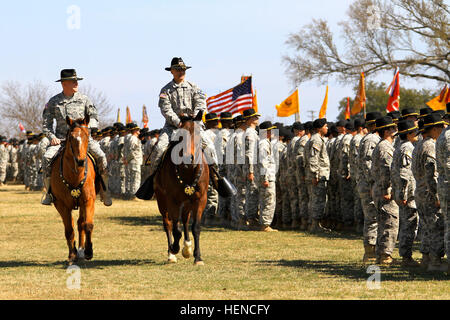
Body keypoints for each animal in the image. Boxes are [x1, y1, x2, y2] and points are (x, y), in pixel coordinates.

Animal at [50, 115, 97, 264]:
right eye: (71, 137)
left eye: (87, 135)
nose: (80, 161)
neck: (74, 176)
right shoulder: (61, 205)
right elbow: (69, 230)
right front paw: (72, 255)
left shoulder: (88, 200)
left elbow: (87, 225)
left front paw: (88, 251)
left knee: (81, 223)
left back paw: (82, 249)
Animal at [154, 112, 210, 264]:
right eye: (180, 135)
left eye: (198, 133)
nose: (188, 158)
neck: (188, 171)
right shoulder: (172, 200)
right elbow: (176, 229)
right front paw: (174, 248)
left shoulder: (200, 199)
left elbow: (195, 227)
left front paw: (197, 257)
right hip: (162, 200)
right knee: (168, 223)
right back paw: (171, 254)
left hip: (187, 202)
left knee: (185, 220)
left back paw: (187, 247)